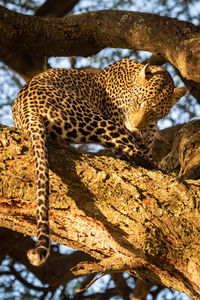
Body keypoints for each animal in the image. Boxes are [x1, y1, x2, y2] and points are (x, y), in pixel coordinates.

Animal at [12, 58, 187, 264]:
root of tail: (27, 109)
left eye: (155, 113)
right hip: (96, 119)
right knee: (136, 155)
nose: (134, 126)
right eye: (138, 101)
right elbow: (137, 155)